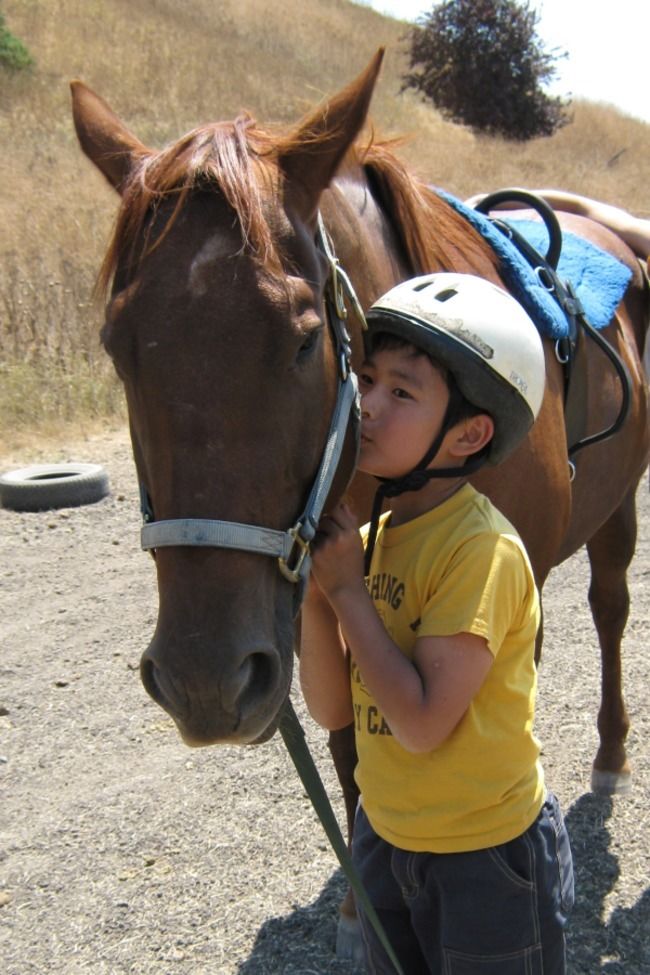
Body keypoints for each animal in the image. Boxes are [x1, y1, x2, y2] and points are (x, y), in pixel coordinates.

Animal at [72, 45, 648, 944]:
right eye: (117, 346)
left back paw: (612, 757)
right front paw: (359, 901)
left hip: (618, 511)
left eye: (306, 340)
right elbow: (351, 752)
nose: (203, 682)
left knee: (612, 608)